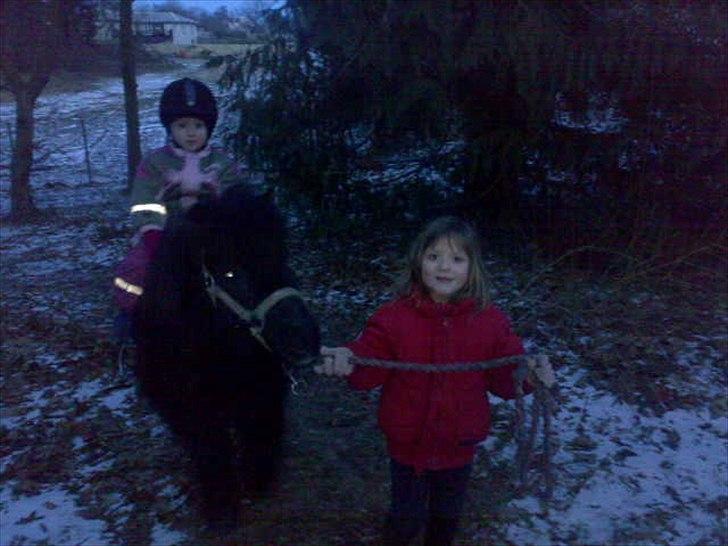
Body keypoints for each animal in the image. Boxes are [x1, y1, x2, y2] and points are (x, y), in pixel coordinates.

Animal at [134, 184, 322, 528]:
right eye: (231, 273)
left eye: (283, 257)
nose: (305, 341)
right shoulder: (191, 404)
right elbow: (210, 448)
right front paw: (220, 506)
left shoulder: (263, 391)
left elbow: (260, 431)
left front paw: (257, 480)